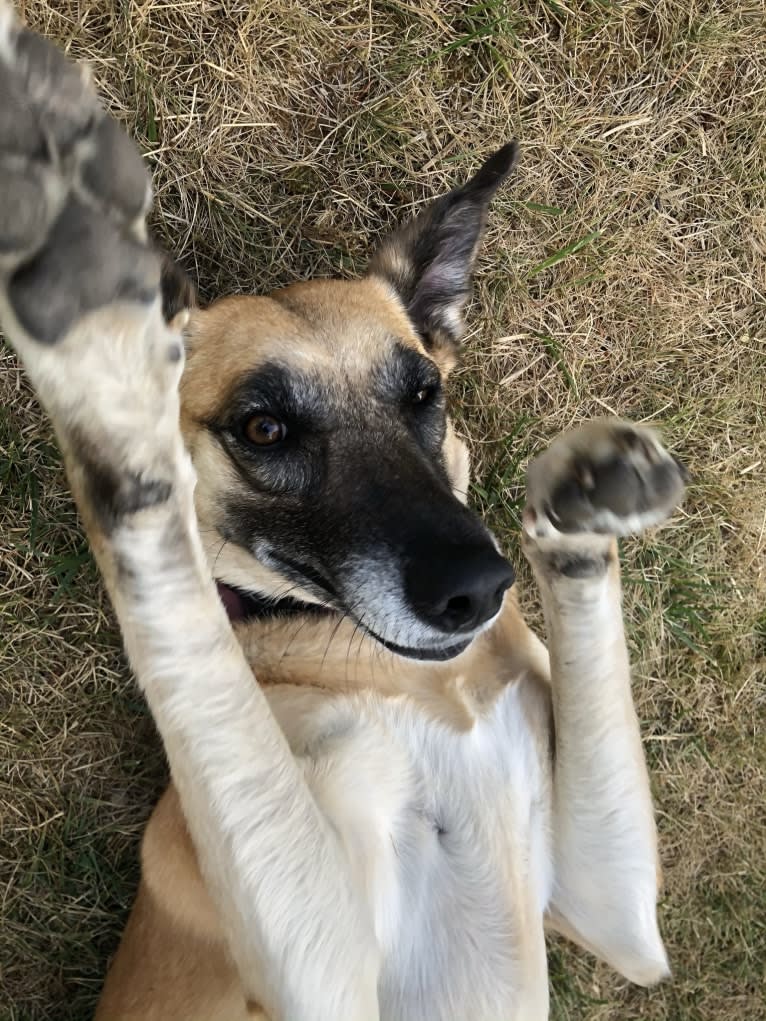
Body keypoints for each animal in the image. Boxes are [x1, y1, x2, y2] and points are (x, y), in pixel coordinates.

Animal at [0, 9, 686, 1021]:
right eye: (264, 426)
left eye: (424, 393)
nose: (477, 588)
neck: (404, 674)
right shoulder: (321, 972)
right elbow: (193, 641)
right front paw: (109, 388)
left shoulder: (618, 914)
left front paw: (583, 498)